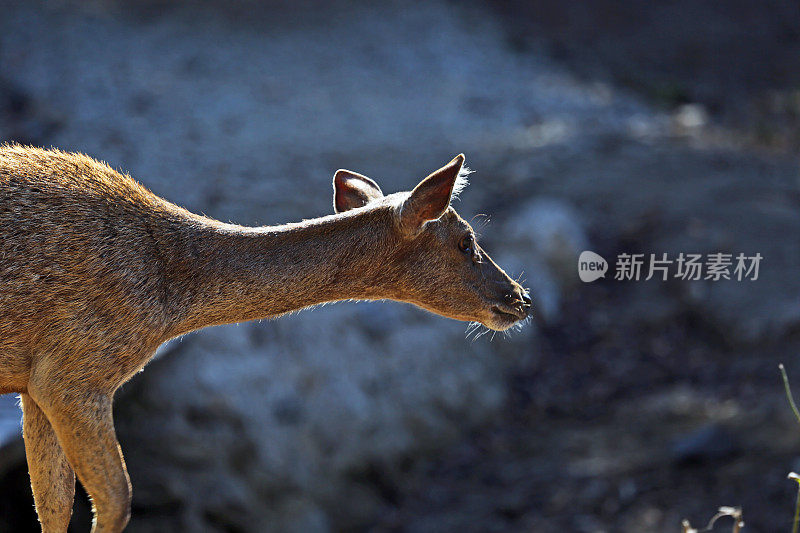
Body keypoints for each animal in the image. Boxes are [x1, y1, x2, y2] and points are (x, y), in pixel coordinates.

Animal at [0, 143, 532, 528]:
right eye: (467, 241)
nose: (520, 297)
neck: (170, 301)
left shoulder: (33, 383)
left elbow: (52, 505)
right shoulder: (75, 369)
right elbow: (116, 499)